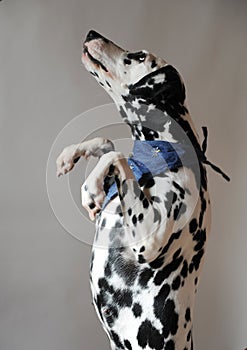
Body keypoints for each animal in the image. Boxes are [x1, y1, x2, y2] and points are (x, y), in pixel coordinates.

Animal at [56, 30, 230, 350]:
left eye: (137, 56)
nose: (91, 33)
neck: (166, 148)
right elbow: (109, 145)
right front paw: (72, 154)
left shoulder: (147, 237)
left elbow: (117, 157)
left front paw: (91, 189)